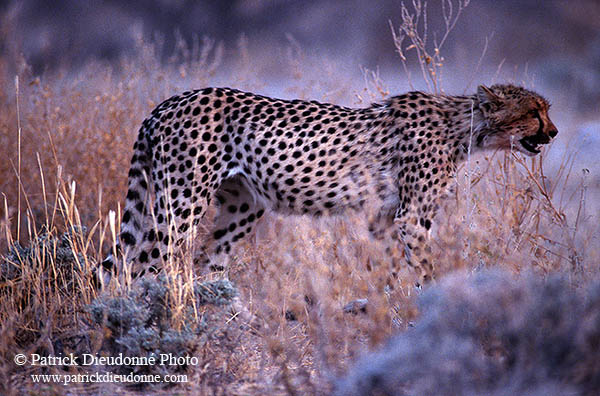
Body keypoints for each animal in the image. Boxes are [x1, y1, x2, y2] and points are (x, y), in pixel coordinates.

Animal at [102, 84, 556, 284]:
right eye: (534, 112)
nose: (553, 133)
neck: (463, 126)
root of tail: (165, 103)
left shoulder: (385, 216)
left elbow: (389, 267)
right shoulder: (413, 218)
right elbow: (425, 268)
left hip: (242, 207)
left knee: (203, 264)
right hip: (182, 202)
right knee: (140, 266)